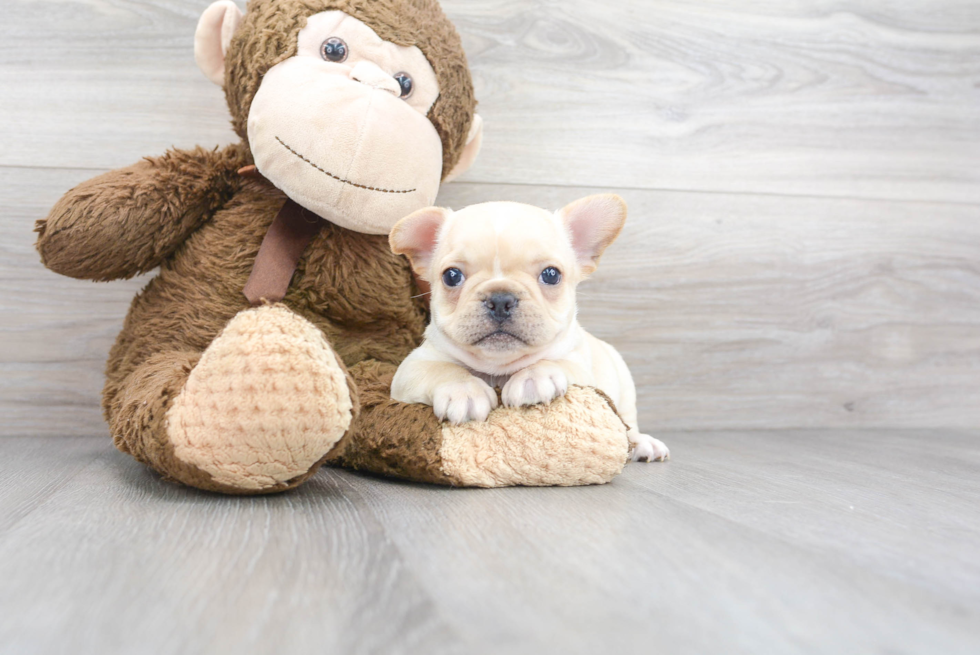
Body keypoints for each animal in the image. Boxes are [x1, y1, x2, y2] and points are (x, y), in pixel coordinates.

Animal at [386, 193, 668, 462]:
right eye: (451, 276)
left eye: (551, 275)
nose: (501, 299)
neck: (498, 368)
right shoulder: (411, 367)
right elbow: (442, 369)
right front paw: (463, 390)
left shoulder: (581, 368)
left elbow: (554, 361)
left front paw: (534, 378)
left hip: (624, 388)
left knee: (628, 424)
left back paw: (644, 443)